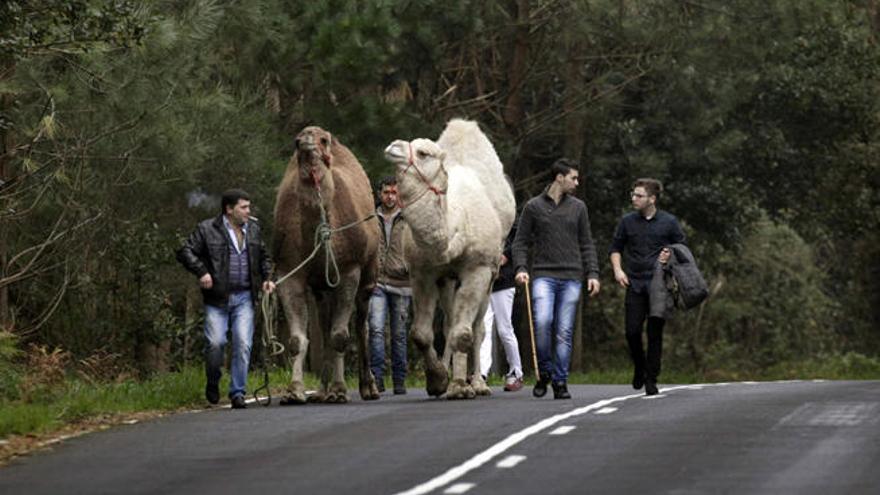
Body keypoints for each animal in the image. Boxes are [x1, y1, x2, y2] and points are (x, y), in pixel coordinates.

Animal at [274, 126, 380, 404]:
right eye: (296, 141)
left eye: (323, 140)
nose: (305, 142)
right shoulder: (289, 271)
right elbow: (296, 340)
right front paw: (294, 390)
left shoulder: (349, 269)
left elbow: (341, 336)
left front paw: (340, 390)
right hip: (322, 287)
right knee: (324, 325)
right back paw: (322, 391)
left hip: (369, 273)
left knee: (361, 325)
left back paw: (368, 387)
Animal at [384, 119, 516, 400]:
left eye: (424, 153)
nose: (393, 147)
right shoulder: (423, 272)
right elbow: (422, 334)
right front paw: (438, 380)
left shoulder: (478, 269)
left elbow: (464, 333)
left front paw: (459, 386)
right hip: (447, 279)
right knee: (448, 323)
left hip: (492, 273)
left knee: (477, 328)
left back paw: (477, 384)